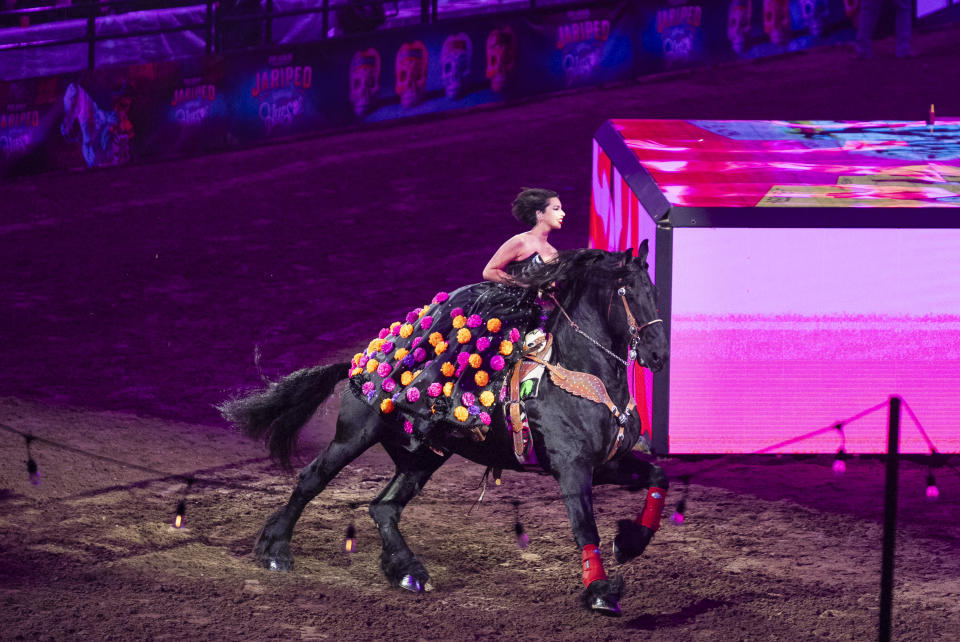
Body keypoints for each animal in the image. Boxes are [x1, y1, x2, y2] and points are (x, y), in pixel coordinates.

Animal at [219, 242, 668, 612]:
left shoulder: (605, 463)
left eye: (656, 291)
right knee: (311, 479)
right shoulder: (572, 468)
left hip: (423, 456)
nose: (659, 355)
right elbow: (584, 526)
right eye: (629, 293)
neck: (580, 374)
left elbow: (657, 476)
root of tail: (360, 365)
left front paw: (629, 544)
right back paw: (275, 550)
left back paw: (407, 571)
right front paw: (600, 592)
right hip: (353, 437)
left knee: (384, 507)